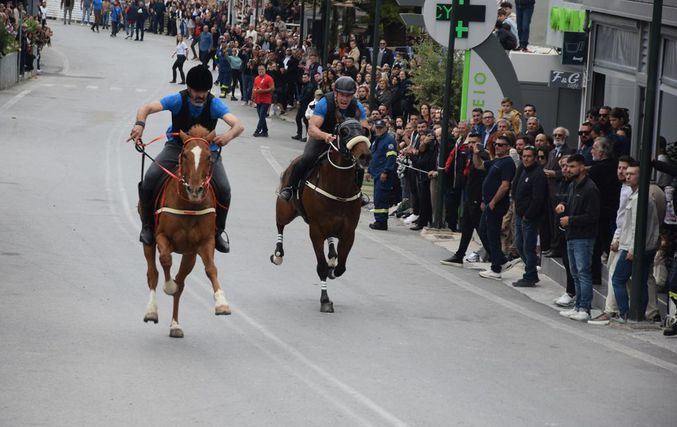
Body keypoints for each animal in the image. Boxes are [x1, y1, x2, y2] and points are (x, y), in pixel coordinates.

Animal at [141, 125, 231, 338]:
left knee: (181, 283)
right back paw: (151, 311)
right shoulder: (162, 236)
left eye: (209, 156)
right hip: (149, 240)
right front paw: (168, 286)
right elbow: (165, 260)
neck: (189, 205)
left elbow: (211, 269)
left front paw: (221, 303)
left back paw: (175, 325)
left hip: (189, 254)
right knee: (152, 273)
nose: (195, 190)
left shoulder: (205, 243)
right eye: (184, 155)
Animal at [270, 119, 372, 313]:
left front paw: (334, 267)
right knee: (280, 225)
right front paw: (325, 300)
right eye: (344, 132)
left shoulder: (349, 232)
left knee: (331, 242)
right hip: (285, 210)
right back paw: (278, 254)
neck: (338, 187)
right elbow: (322, 267)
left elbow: (341, 267)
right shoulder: (316, 230)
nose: (365, 156)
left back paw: (332, 254)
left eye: (364, 131)